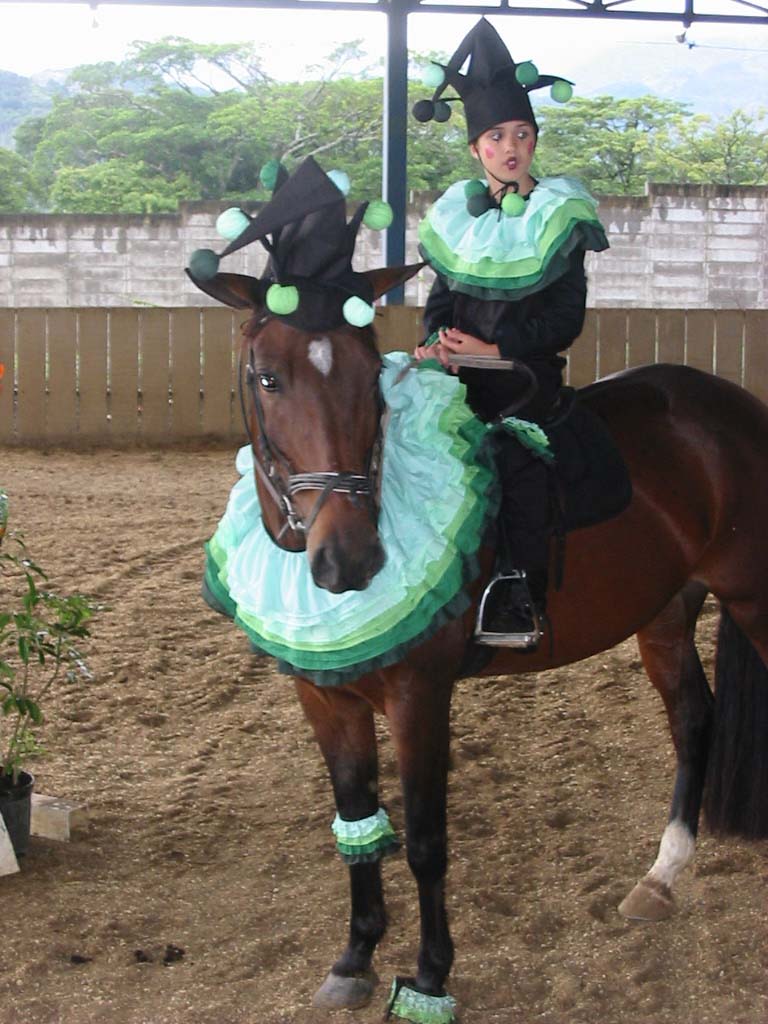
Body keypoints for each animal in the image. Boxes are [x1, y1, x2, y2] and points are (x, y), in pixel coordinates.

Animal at [200, 264, 768, 1021]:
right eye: (267, 378)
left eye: (368, 376)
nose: (349, 561)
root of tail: (739, 409)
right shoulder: (326, 700)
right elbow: (358, 823)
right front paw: (354, 957)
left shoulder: (419, 698)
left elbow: (425, 841)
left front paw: (429, 977)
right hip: (667, 612)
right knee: (694, 719)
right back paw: (661, 877)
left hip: (755, 598)